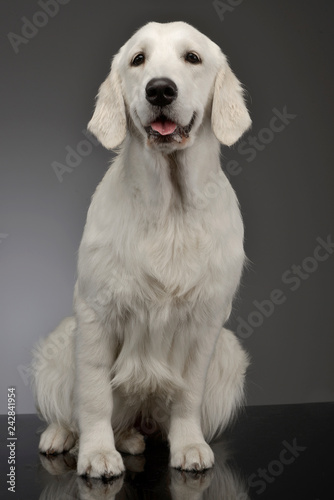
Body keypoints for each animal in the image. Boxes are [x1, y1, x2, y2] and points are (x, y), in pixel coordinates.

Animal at [30, 21, 250, 478]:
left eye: (192, 57)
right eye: (138, 59)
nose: (160, 90)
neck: (170, 205)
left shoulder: (207, 322)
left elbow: (188, 394)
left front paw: (189, 446)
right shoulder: (95, 312)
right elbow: (94, 394)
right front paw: (96, 453)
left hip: (230, 353)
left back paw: (135, 438)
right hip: (60, 341)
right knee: (71, 412)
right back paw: (63, 437)